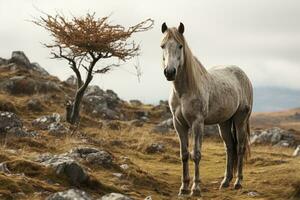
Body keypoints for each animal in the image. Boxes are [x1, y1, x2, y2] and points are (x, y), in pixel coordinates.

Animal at [161, 22, 252, 197]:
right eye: (162, 46)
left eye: (180, 46)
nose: (169, 72)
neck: (185, 91)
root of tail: (244, 75)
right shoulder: (179, 124)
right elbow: (184, 154)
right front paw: (183, 188)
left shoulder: (197, 123)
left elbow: (196, 154)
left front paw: (195, 189)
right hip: (224, 123)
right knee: (230, 147)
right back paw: (225, 182)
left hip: (240, 120)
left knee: (240, 147)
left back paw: (238, 183)